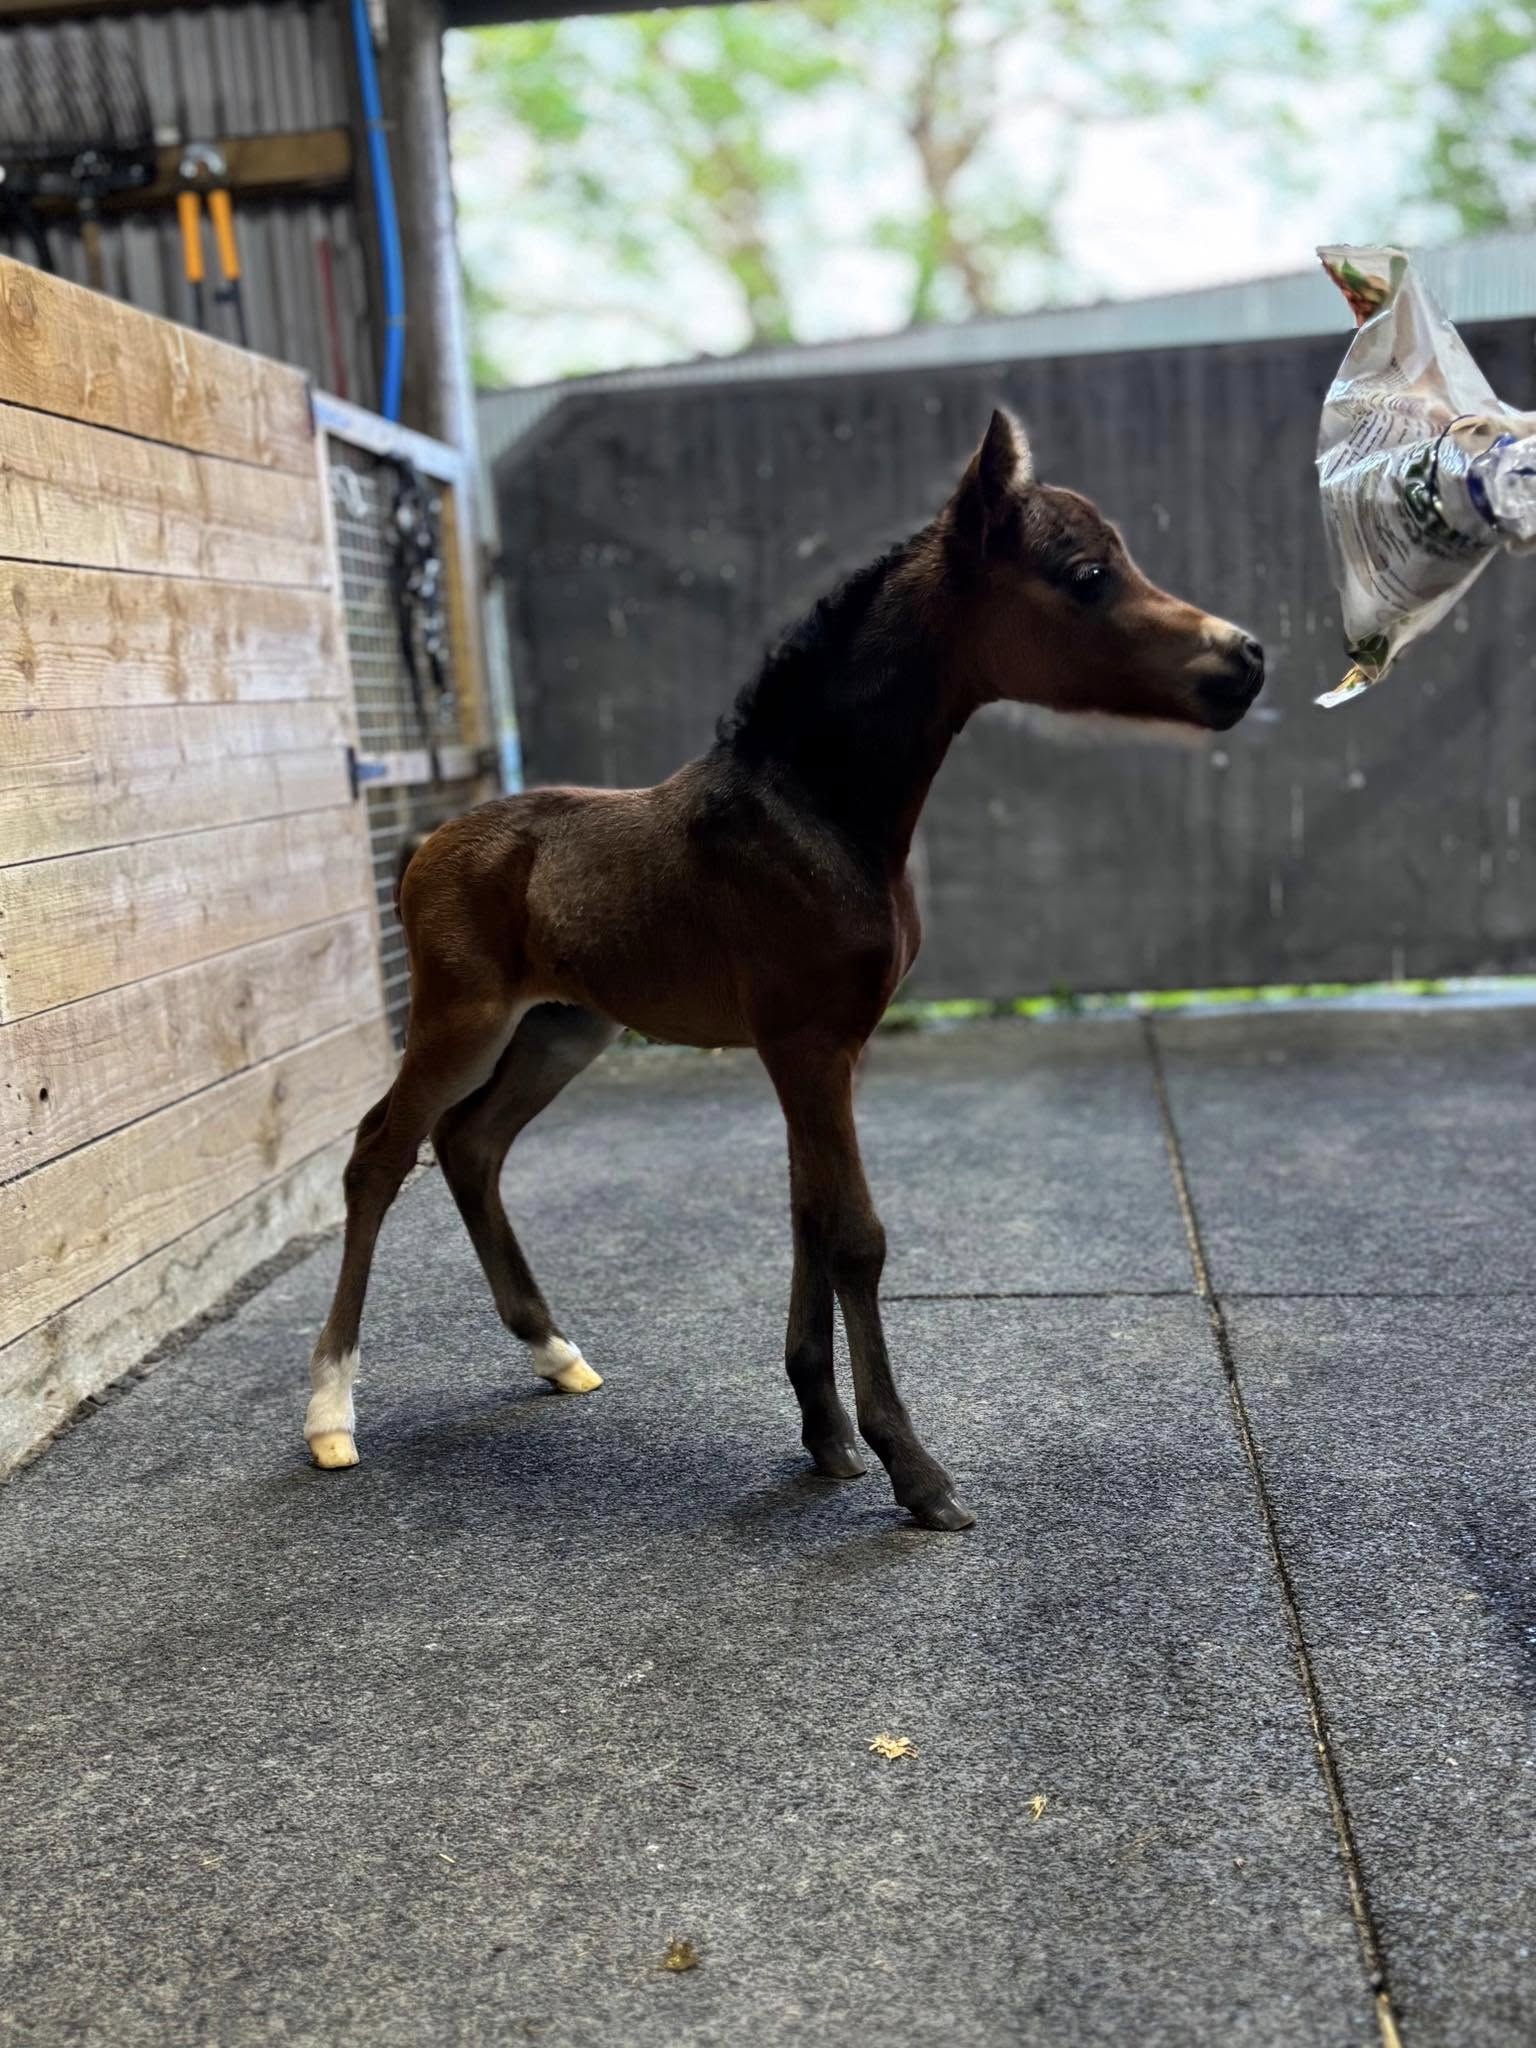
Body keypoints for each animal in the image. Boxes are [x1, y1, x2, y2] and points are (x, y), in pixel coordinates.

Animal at [303, 409, 1264, 1530]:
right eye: (1086, 575)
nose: (1245, 658)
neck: (816, 811)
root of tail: (424, 844)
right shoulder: (804, 1043)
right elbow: (853, 1233)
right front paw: (913, 1469)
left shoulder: (831, 1048)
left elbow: (808, 1211)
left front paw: (826, 1434)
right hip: (464, 1020)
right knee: (379, 1153)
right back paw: (331, 1408)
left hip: (563, 1028)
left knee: (471, 1144)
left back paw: (553, 1350)